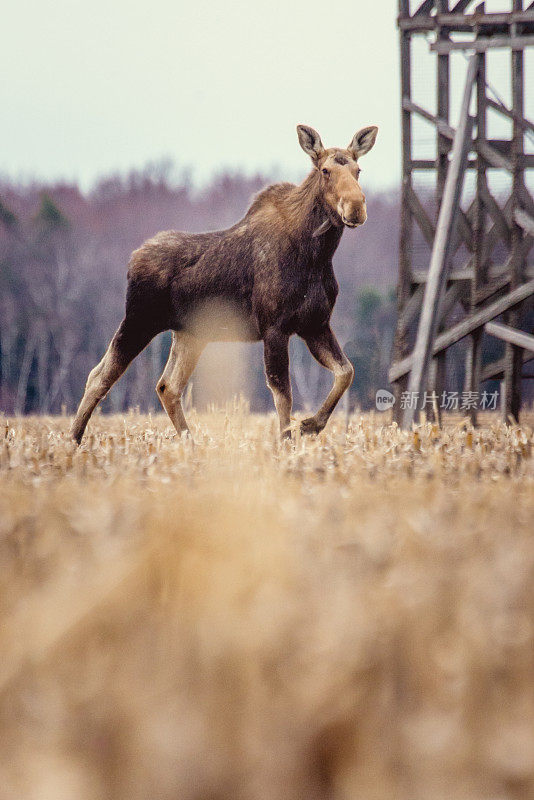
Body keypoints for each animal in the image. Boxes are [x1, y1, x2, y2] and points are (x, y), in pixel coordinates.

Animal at [71, 123, 378, 444]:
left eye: (358, 169)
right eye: (325, 170)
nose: (356, 207)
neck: (317, 254)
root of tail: (132, 259)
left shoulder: (315, 324)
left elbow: (346, 372)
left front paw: (308, 425)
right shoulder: (274, 326)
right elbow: (283, 394)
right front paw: (287, 438)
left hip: (189, 333)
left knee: (167, 386)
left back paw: (190, 443)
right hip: (138, 319)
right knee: (100, 375)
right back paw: (72, 441)